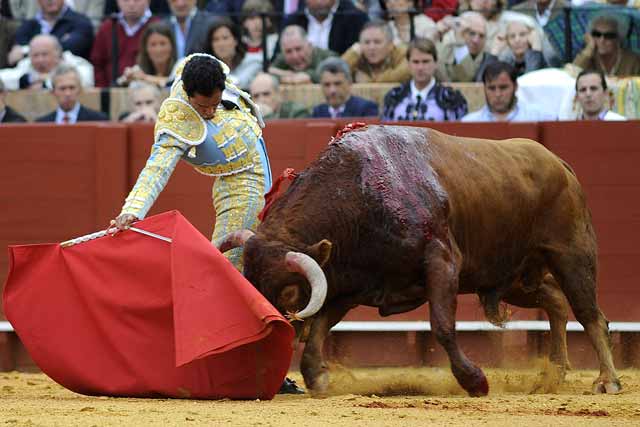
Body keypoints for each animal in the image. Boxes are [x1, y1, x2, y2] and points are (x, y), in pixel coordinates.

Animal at [218, 124, 621, 397]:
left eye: (288, 294)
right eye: (248, 284)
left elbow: (441, 324)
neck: (360, 192)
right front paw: (317, 377)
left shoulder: (442, 261)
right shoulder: (351, 284)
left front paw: (475, 380)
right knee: (555, 300)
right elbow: (319, 326)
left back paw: (607, 381)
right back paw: (555, 374)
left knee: (591, 315)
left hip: (572, 253)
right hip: (514, 276)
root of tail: (559, 163)